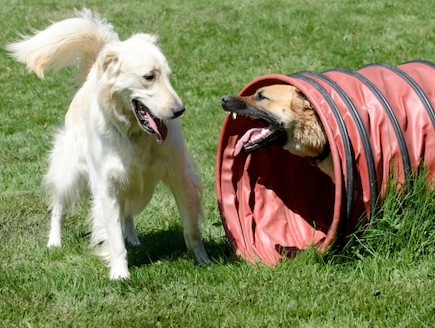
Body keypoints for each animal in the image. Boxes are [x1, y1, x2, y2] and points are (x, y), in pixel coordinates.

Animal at [6, 9, 211, 278]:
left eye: (169, 77)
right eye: (149, 77)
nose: (179, 111)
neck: (135, 133)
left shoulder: (179, 176)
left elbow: (191, 229)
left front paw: (203, 260)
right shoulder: (107, 186)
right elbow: (113, 238)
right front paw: (120, 274)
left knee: (127, 215)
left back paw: (133, 237)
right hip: (70, 172)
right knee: (58, 208)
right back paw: (54, 242)